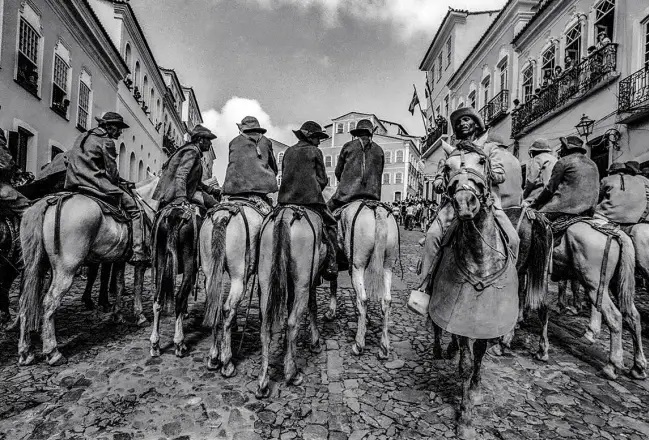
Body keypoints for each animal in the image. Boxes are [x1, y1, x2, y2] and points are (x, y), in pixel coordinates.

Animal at [200, 201, 266, 376]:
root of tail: (222, 217)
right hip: (238, 277)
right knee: (228, 309)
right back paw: (227, 362)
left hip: (210, 273)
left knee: (215, 306)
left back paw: (213, 358)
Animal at [254, 206, 322, 398]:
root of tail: (284, 216)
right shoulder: (311, 280)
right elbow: (312, 306)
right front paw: (315, 342)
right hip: (302, 284)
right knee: (293, 323)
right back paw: (292, 374)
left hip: (266, 282)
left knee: (265, 327)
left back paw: (263, 383)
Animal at [322, 201, 398, 360]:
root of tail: (377, 211)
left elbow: (333, 284)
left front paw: (331, 312)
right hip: (387, 265)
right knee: (386, 300)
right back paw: (384, 348)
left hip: (358, 266)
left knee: (362, 299)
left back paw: (358, 344)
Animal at [428, 149, 520, 440]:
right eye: (447, 168)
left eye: (482, 161)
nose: (464, 203)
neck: (480, 258)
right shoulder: (458, 314)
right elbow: (466, 364)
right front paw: (465, 418)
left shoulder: (485, 321)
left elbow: (480, 354)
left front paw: (477, 390)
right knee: (437, 326)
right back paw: (440, 349)